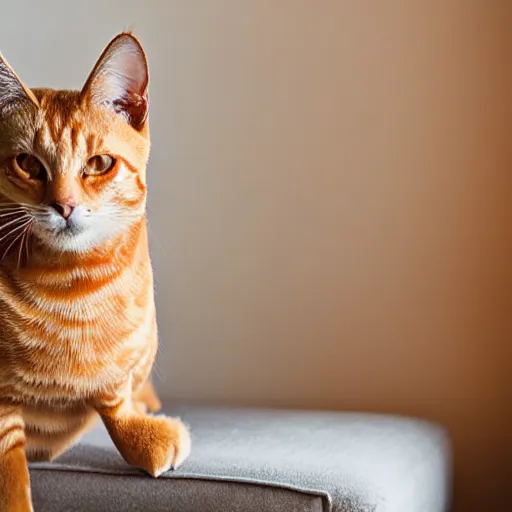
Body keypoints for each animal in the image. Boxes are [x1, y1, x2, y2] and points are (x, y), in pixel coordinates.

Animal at [0, 33, 191, 512]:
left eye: (99, 164)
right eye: (28, 164)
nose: (64, 205)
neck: (71, 290)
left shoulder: (124, 366)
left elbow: (114, 395)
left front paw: (142, 431)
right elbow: (9, 465)